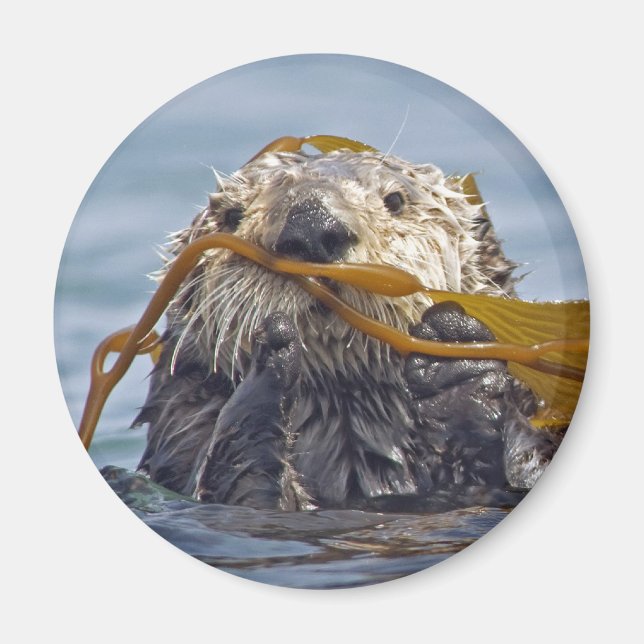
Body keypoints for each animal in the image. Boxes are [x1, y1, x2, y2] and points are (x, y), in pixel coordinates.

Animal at [133, 148, 560, 512]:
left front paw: (456, 369)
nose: (310, 224)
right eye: (232, 216)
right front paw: (269, 359)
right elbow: (244, 494)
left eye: (396, 201)